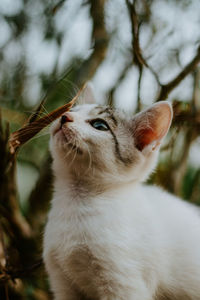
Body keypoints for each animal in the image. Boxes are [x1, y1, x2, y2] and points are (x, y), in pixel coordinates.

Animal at [43, 87, 200, 300]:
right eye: (73, 110)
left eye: (99, 125)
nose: (65, 116)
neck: (76, 202)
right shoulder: (62, 284)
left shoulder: (123, 283)